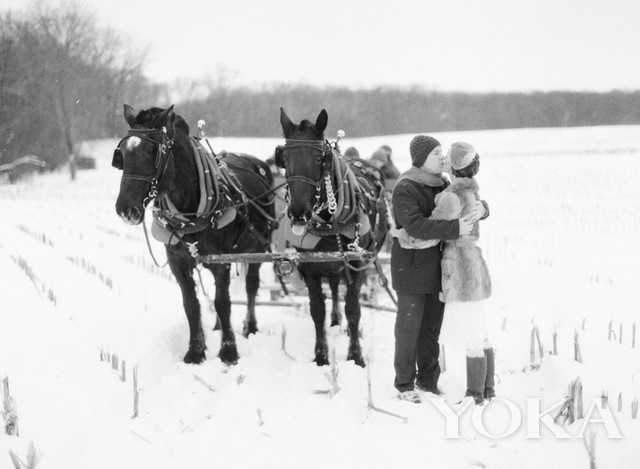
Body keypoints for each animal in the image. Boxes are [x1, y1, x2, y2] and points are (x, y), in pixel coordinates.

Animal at [112, 104, 276, 364]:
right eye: (123, 154)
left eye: (152, 151)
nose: (125, 209)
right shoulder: (178, 261)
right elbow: (191, 304)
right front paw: (195, 351)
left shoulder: (222, 261)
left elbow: (223, 302)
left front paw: (228, 351)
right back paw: (219, 326)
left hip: (258, 248)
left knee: (251, 286)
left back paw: (249, 327)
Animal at [274, 109, 388, 366]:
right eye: (285, 158)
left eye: (319, 159)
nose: (298, 212)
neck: (327, 221)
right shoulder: (310, 268)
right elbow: (317, 310)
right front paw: (321, 355)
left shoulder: (357, 263)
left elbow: (354, 310)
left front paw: (356, 356)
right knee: (335, 286)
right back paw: (335, 320)